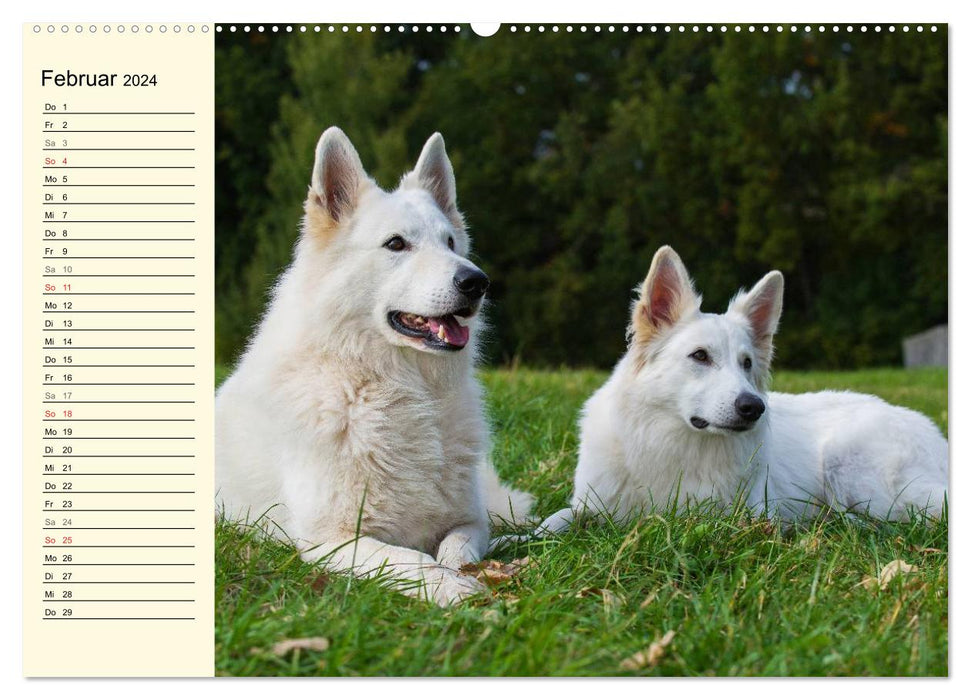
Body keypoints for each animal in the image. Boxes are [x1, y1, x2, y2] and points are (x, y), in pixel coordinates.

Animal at [215, 129, 532, 604]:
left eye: (451, 244)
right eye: (396, 244)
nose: (477, 282)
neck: (398, 387)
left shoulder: (468, 521)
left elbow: (458, 548)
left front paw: (468, 573)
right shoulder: (332, 540)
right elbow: (412, 559)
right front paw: (453, 590)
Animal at [516, 246, 948, 540]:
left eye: (746, 364)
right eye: (700, 356)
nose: (753, 408)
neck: (672, 443)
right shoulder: (590, 504)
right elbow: (554, 522)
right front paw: (518, 539)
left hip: (851, 470)